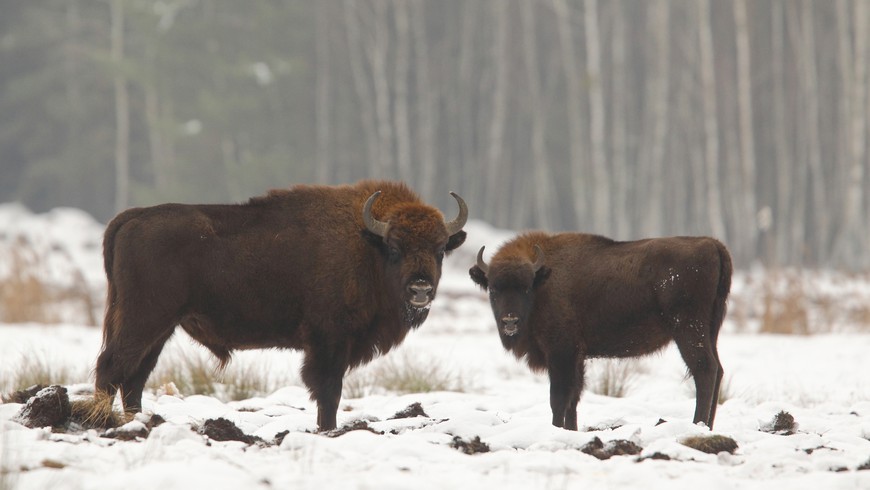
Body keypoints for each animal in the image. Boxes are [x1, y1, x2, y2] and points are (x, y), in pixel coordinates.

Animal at [97, 180, 470, 428]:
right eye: (395, 248)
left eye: (440, 249)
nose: (420, 289)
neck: (367, 245)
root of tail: (132, 218)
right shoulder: (330, 342)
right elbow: (329, 392)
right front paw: (328, 429)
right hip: (144, 319)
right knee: (112, 366)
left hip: (160, 327)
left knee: (135, 376)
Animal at [474, 233, 732, 428]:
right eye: (493, 289)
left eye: (526, 288)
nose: (510, 321)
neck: (543, 281)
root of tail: (711, 244)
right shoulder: (576, 357)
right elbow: (574, 399)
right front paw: (571, 430)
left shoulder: (561, 353)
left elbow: (558, 399)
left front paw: (556, 429)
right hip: (710, 330)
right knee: (718, 370)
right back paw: (708, 426)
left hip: (688, 329)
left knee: (704, 369)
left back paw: (698, 425)